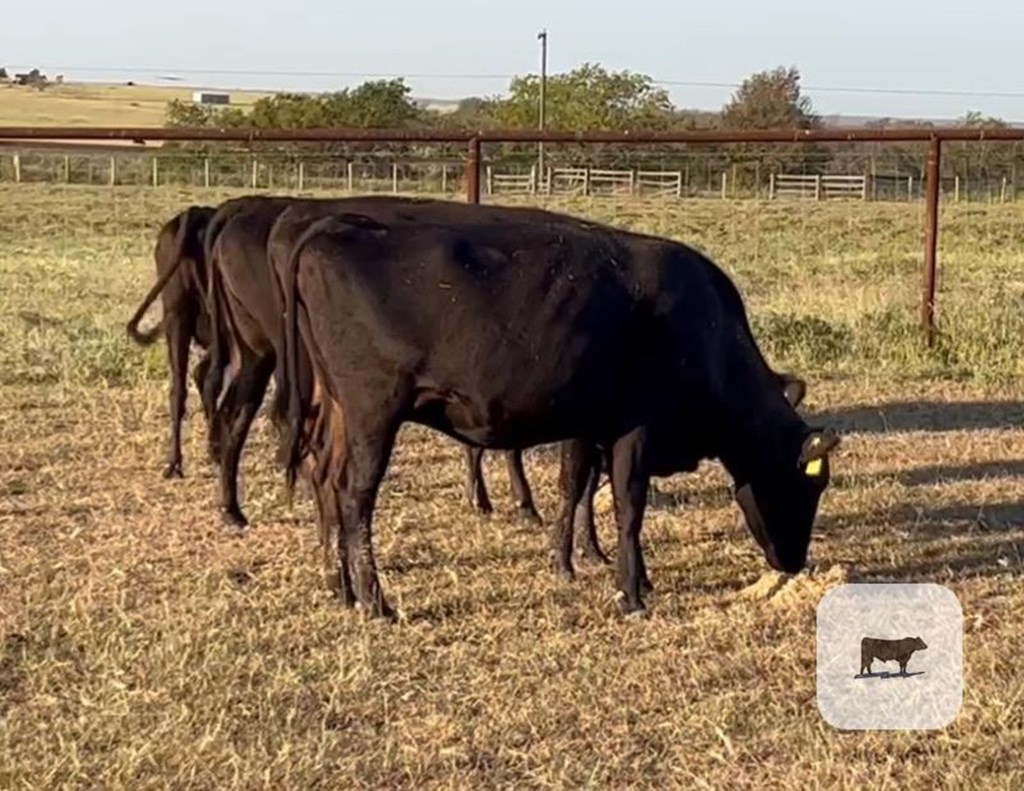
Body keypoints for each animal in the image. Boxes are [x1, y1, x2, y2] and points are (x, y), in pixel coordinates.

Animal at [274, 202, 839, 618]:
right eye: (808, 485)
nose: (794, 562)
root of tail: (337, 225)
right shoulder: (636, 429)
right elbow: (629, 508)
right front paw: (631, 593)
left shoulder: (590, 425)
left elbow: (575, 489)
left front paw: (582, 565)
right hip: (373, 411)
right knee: (355, 496)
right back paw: (375, 601)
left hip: (340, 411)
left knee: (325, 480)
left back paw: (340, 587)